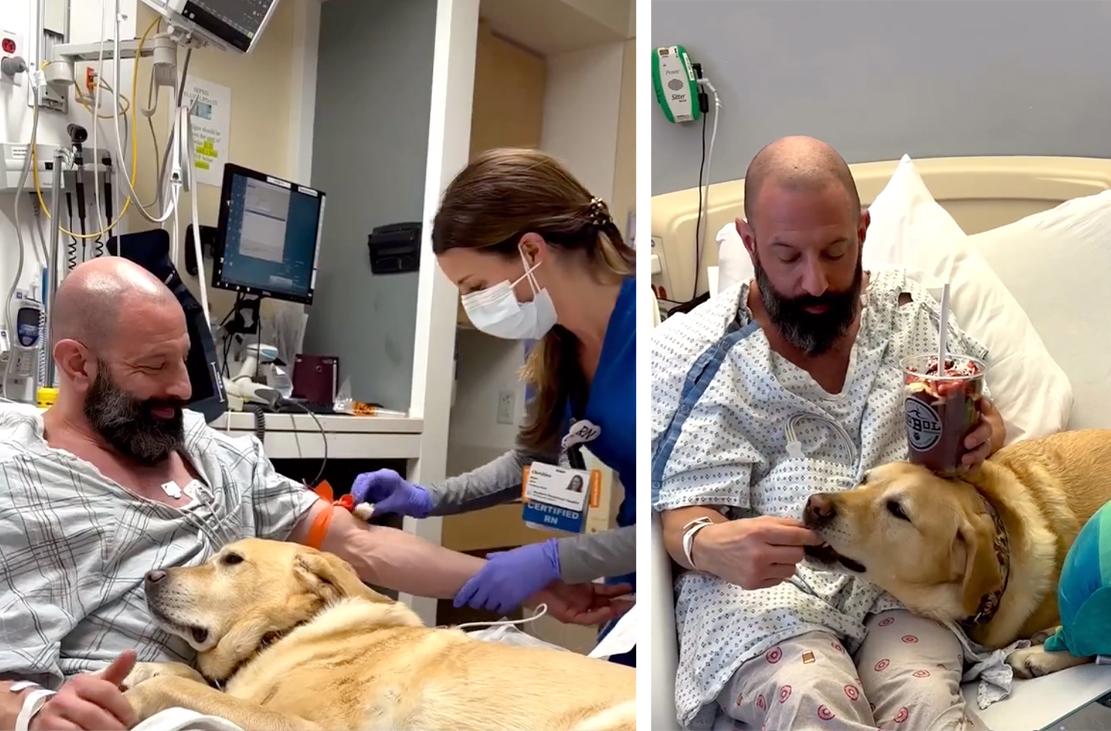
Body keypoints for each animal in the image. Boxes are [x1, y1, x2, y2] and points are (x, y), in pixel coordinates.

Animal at [121, 535, 635, 728]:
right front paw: (142, 671)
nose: (148, 576)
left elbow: (194, 691)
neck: (284, 634)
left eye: (231, 560)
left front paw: (140, 694)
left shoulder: (305, 727)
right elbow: (193, 679)